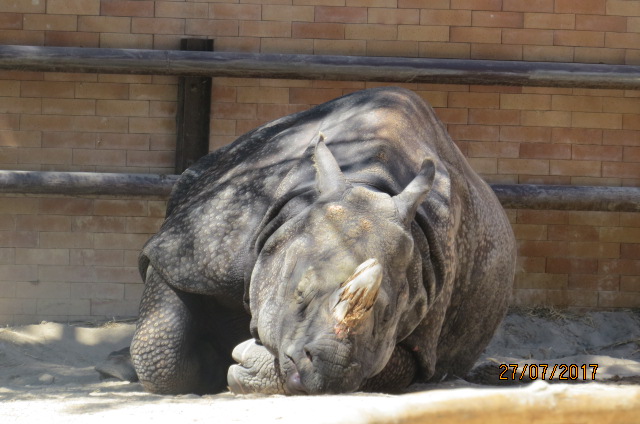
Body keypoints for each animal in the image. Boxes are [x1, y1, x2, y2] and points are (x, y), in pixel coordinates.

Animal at [100, 87, 516, 395]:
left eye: (390, 316)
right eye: (299, 292)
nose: (326, 373)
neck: (366, 183)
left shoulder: (423, 335)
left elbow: (391, 368)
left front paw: (247, 361)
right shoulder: (190, 254)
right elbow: (162, 350)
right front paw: (216, 364)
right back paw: (115, 368)